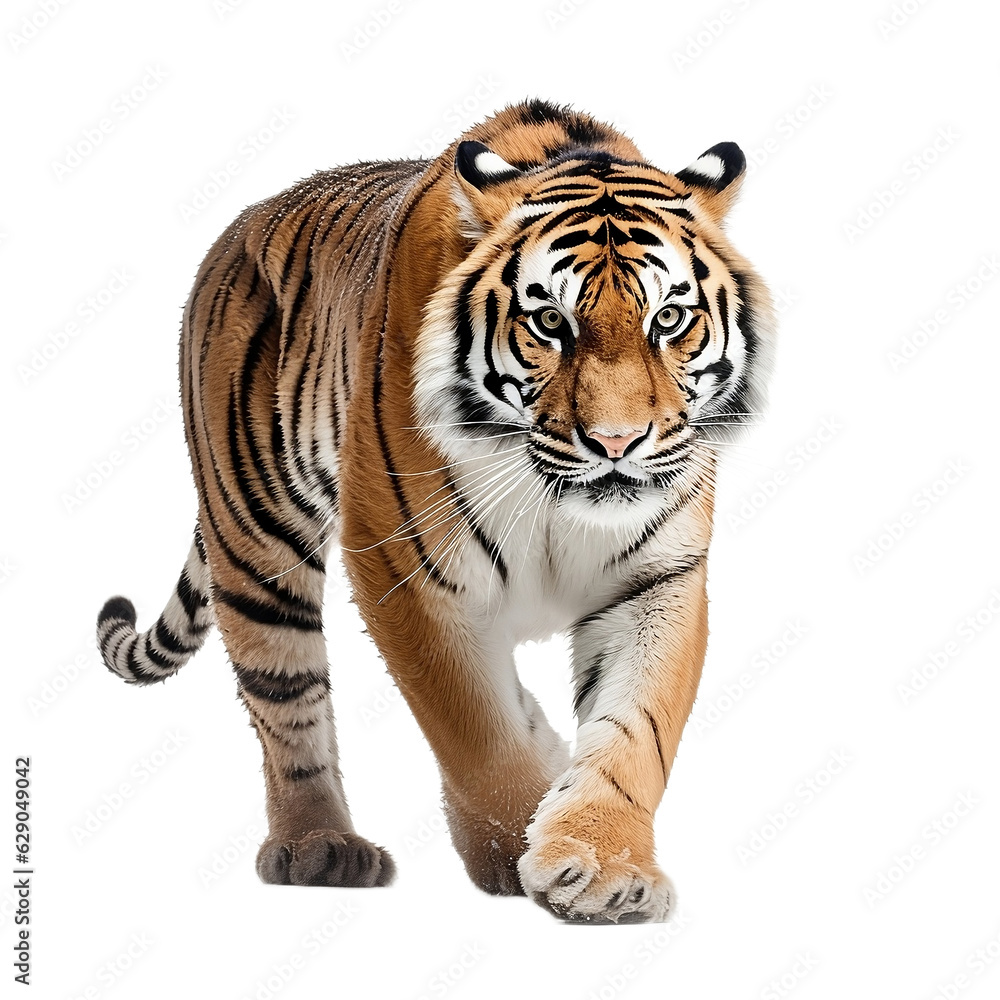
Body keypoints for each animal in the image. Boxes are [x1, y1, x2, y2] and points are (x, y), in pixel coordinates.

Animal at [96, 99, 774, 923]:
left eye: (669, 319)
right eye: (551, 324)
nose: (617, 441)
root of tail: (242, 224)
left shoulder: (657, 578)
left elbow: (634, 732)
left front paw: (603, 868)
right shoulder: (405, 568)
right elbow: (477, 734)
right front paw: (511, 844)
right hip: (257, 539)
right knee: (287, 701)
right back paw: (319, 845)